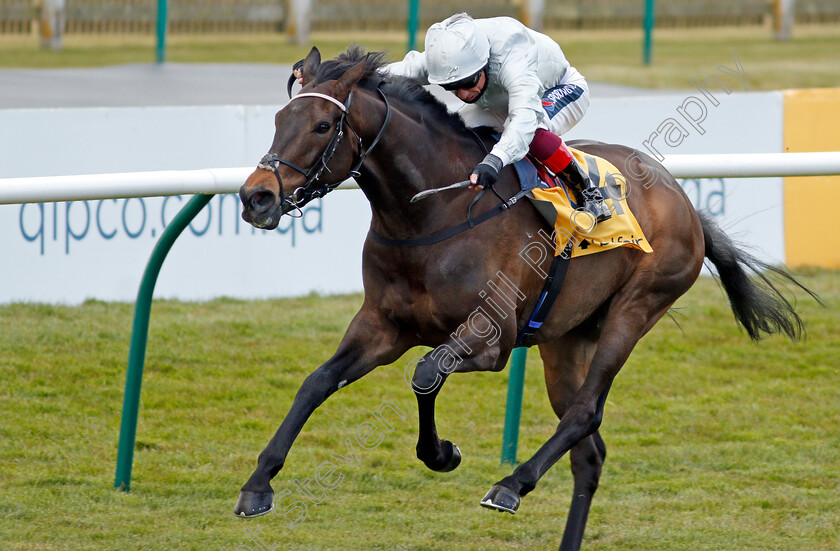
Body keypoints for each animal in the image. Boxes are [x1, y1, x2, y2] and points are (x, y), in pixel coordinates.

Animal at [233, 48, 812, 551]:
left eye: (321, 126)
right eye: (279, 119)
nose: (256, 197)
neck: (431, 216)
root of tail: (683, 199)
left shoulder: (492, 338)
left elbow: (426, 372)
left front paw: (441, 453)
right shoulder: (382, 326)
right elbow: (317, 382)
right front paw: (258, 485)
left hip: (636, 309)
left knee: (585, 414)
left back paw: (512, 484)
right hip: (567, 339)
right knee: (589, 453)